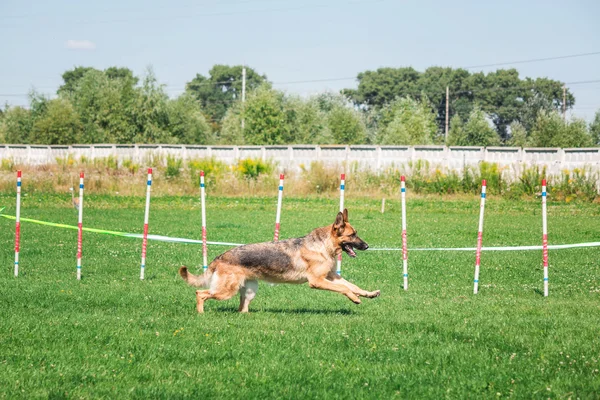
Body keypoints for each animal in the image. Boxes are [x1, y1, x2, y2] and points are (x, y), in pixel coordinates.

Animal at [180, 209, 382, 312]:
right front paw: (354, 298)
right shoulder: (317, 281)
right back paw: (201, 314)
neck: (323, 245)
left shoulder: (332, 276)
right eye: (352, 235)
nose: (367, 246)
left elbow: (352, 285)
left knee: (242, 308)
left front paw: (368, 293)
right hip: (225, 291)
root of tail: (219, 257)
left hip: (249, 291)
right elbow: (344, 289)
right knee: (200, 293)